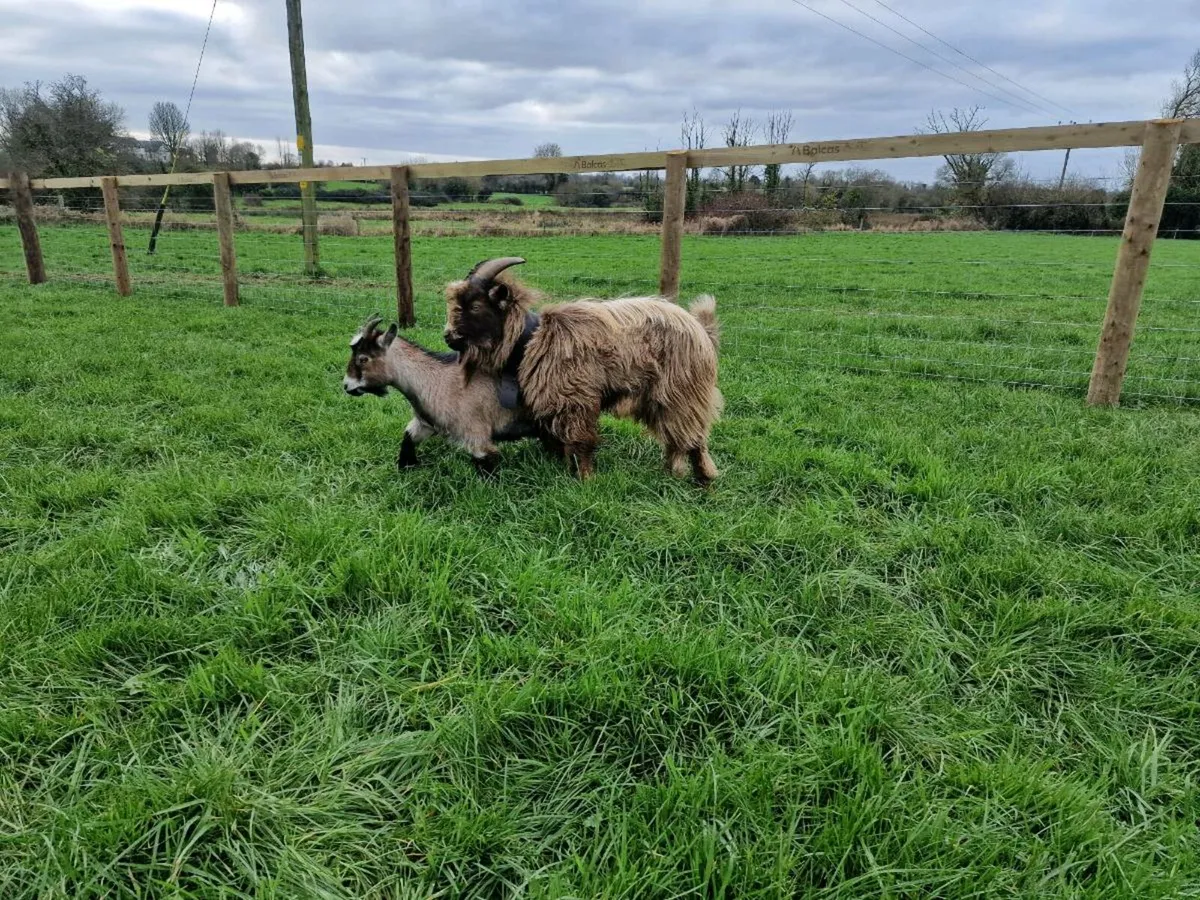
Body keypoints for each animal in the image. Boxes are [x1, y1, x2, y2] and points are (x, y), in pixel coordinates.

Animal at [343, 314, 558, 476]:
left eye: (363, 359)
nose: (346, 385)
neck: (436, 381)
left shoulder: (477, 436)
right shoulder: (426, 424)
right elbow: (409, 437)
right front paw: (406, 468)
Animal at [443, 258, 723, 484]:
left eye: (475, 306)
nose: (448, 336)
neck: (533, 340)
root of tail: (701, 328)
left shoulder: (576, 400)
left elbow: (581, 442)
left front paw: (585, 480)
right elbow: (556, 440)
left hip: (684, 393)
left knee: (694, 438)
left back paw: (704, 481)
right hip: (662, 399)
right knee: (677, 439)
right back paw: (671, 473)